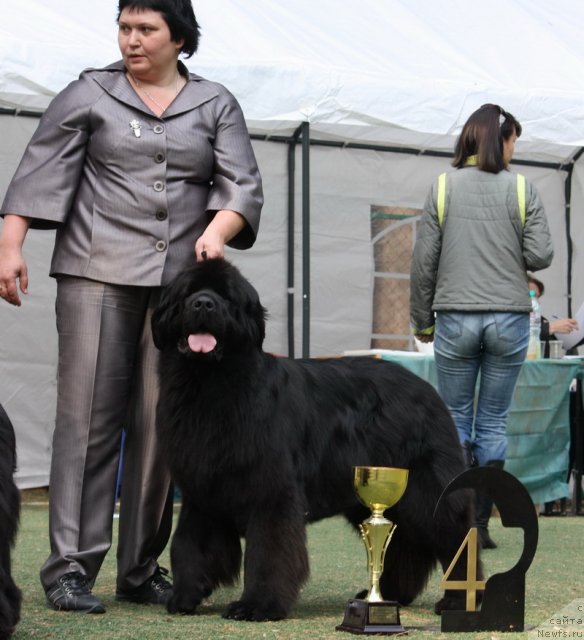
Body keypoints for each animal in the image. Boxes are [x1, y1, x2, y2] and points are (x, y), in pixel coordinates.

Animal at [152, 258, 480, 620]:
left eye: (226, 296)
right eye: (188, 293)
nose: (204, 304)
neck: (209, 385)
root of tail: (427, 388)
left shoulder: (272, 491)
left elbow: (268, 551)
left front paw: (257, 605)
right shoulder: (201, 488)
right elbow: (190, 543)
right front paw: (185, 596)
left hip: (423, 489)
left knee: (455, 535)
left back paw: (459, 600)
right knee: (403, 545)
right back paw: (387, 595)